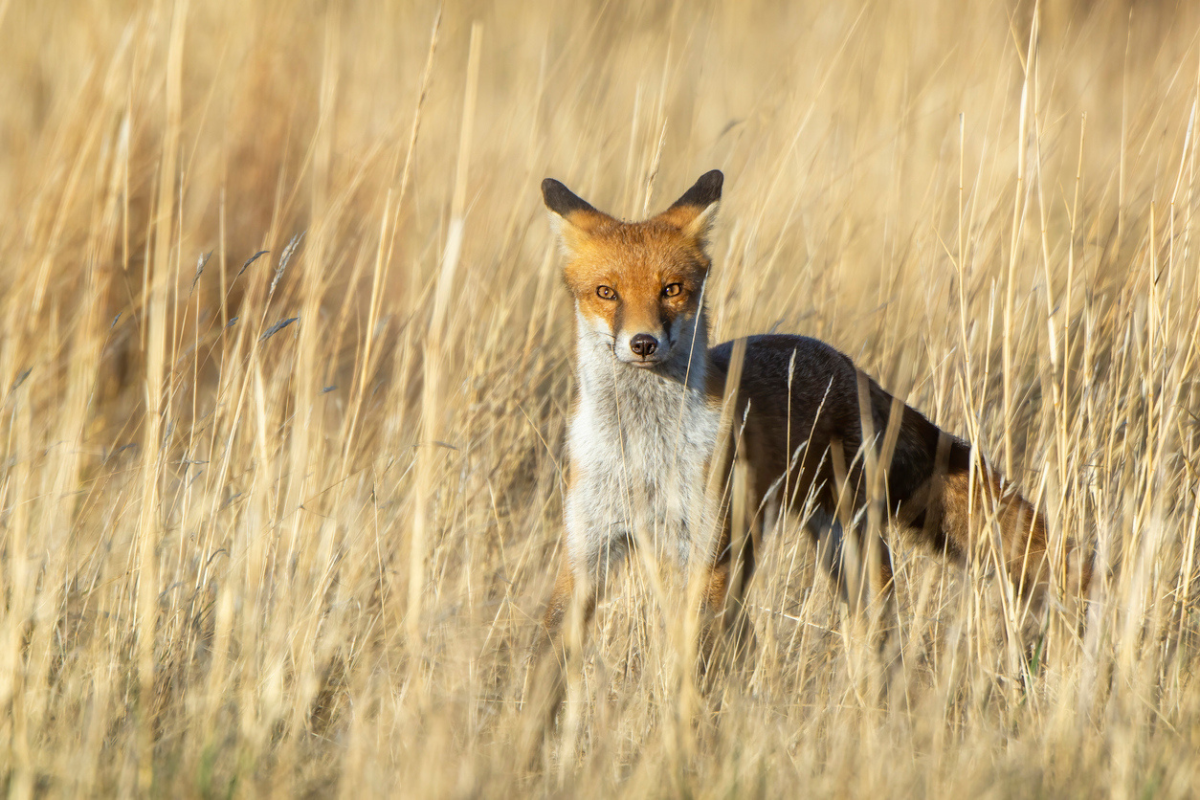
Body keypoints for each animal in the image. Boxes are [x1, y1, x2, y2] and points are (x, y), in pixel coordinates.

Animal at [535, 170, 1089, 676]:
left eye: (672, 289)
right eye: (606, 292)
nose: (644, 343)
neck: (644, 449)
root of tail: (847, 366)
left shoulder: (707, 554)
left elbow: (694, 664)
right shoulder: (588, 549)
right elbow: (550, 656)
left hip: (845, 544)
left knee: (876, 625)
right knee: (748, 635)